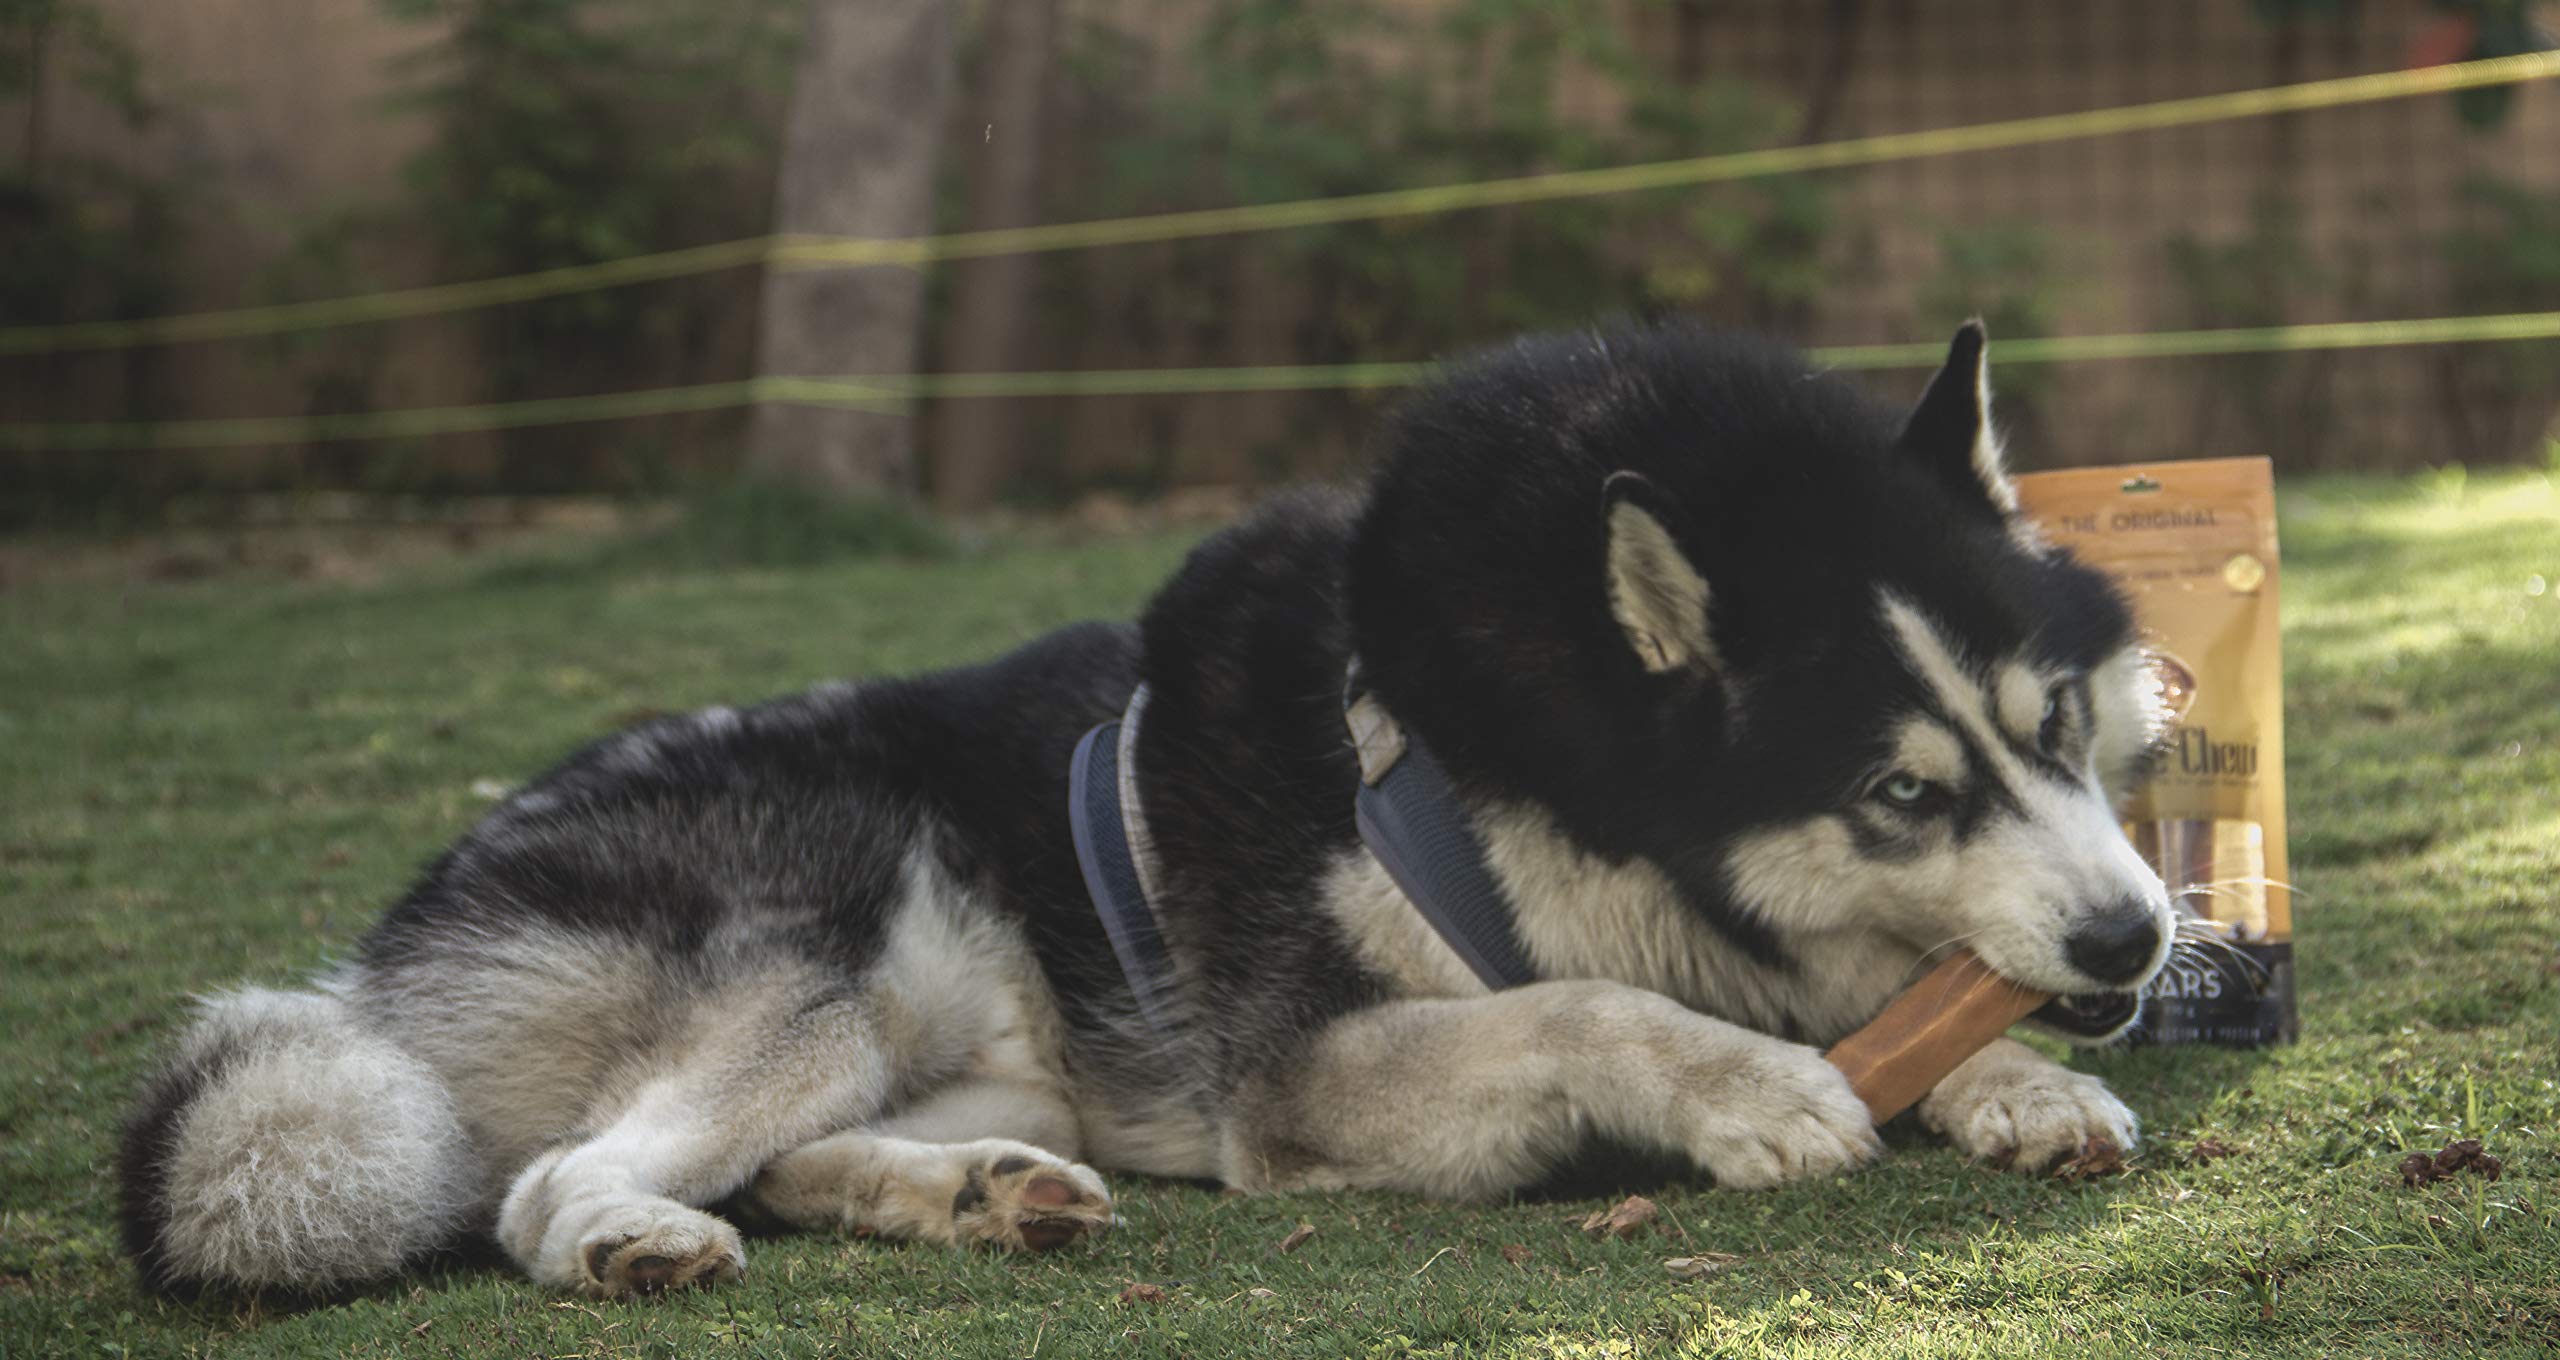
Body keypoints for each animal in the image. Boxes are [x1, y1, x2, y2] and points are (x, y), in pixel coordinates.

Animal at [110, 325, 2170, 1306]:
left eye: (2058, 724)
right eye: (1901, 789)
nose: (2141, 936)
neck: (1490, 756)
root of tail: (385, 957)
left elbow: (1902, 996)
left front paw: (2015, 1081)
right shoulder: (1296, 1074)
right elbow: (1592, 1006)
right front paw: (1752, 1091)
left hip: (1003, 1053)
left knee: (783, 1157)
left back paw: (966, 1199)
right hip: (848, 948)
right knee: (548, 1184)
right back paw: (638, 1240)